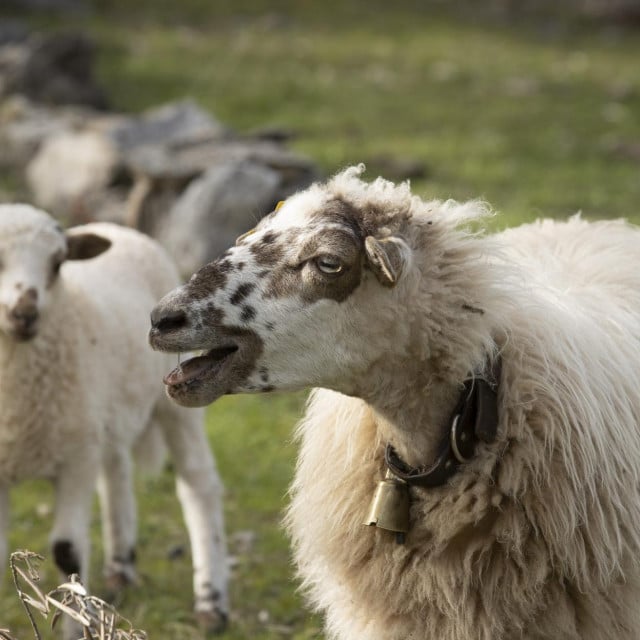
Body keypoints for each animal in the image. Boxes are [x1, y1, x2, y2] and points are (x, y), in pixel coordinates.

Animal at [0, 204, 229, 632]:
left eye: (57, 263)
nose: (24, 313)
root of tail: (116, 227)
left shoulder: (76, 457)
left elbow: (67, 553)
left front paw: (75, 628)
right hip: (107, 412)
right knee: (117, 473)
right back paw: (120, 568)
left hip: (177, 399)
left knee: (198, 484)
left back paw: (211, 603)